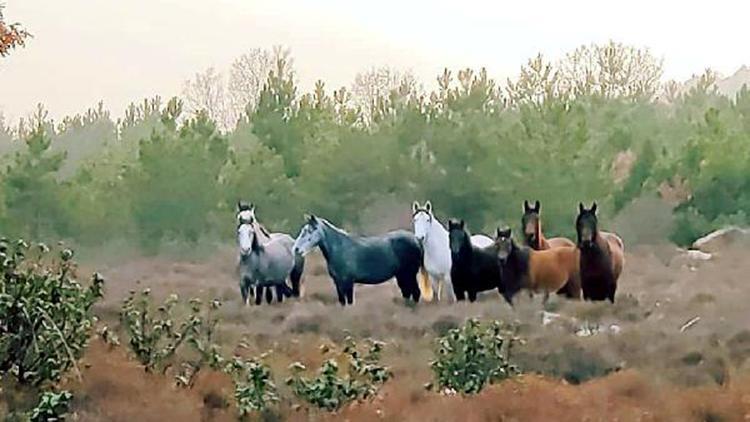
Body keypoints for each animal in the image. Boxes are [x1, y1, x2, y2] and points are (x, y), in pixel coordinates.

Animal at [292, 214, 424, 306]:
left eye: (310, 231)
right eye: (304, 230)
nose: (296, 249)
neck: (340, 248)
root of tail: (416, 240)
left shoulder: (348, 282)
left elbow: (350, 302)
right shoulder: (338, 282)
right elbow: (342, 302)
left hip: (409, 274)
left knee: (416, 293)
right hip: (401, 275)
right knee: (408, 293)